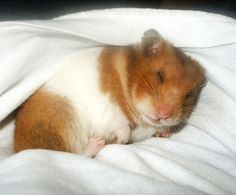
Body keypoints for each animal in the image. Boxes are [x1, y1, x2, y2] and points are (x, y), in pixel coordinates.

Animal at [13, 29, 206, 157]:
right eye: (159, 76)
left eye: (189, 96)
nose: (163, 115)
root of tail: (19, 148)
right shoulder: (110, 109)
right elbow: (122, 126)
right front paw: (121, 141)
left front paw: (164, 133)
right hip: (62, 121)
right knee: (70, 154)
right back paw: (98, 143)